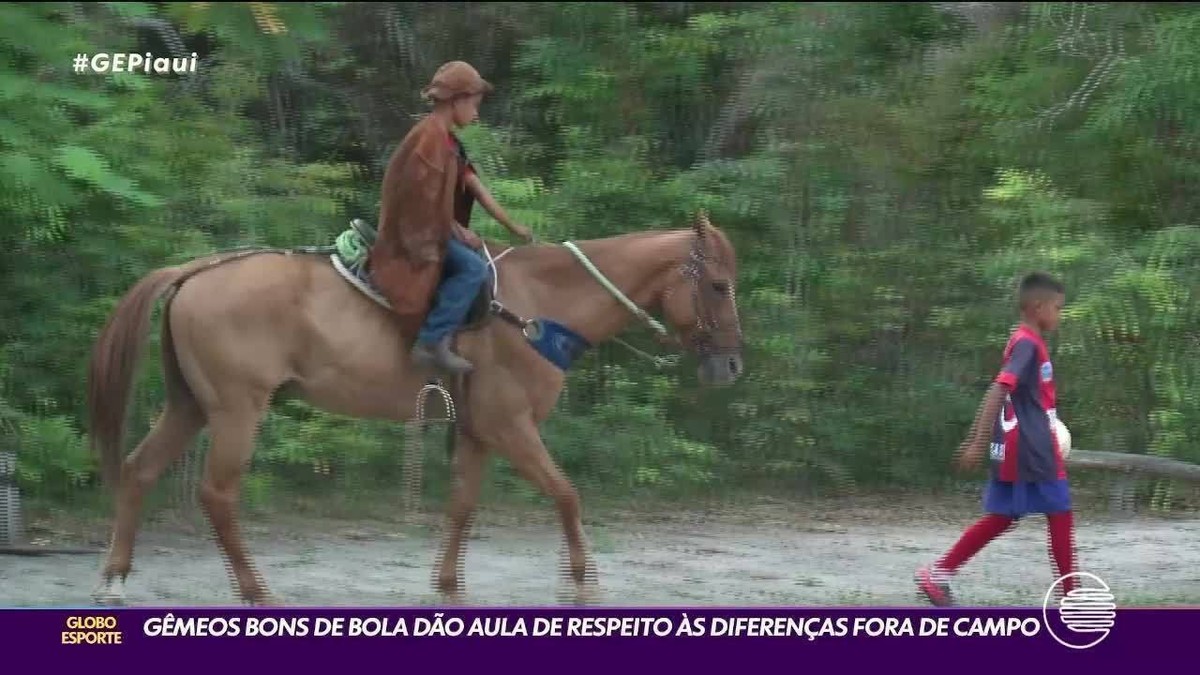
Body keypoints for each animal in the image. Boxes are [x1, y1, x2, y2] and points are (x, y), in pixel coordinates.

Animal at [87, 212, 739, 600]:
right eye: (718, 285)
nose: (731, 367)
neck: (538, 306)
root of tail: (197, 270)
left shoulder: (477, 431)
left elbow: (462, 506)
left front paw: (448, 587)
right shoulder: (511, 426)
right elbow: (566, 493)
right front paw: (582, 585)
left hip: (190, 405)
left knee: (139, 470)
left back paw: (115, 579)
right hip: (235, 410)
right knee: (217, 495)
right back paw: (255, 592)